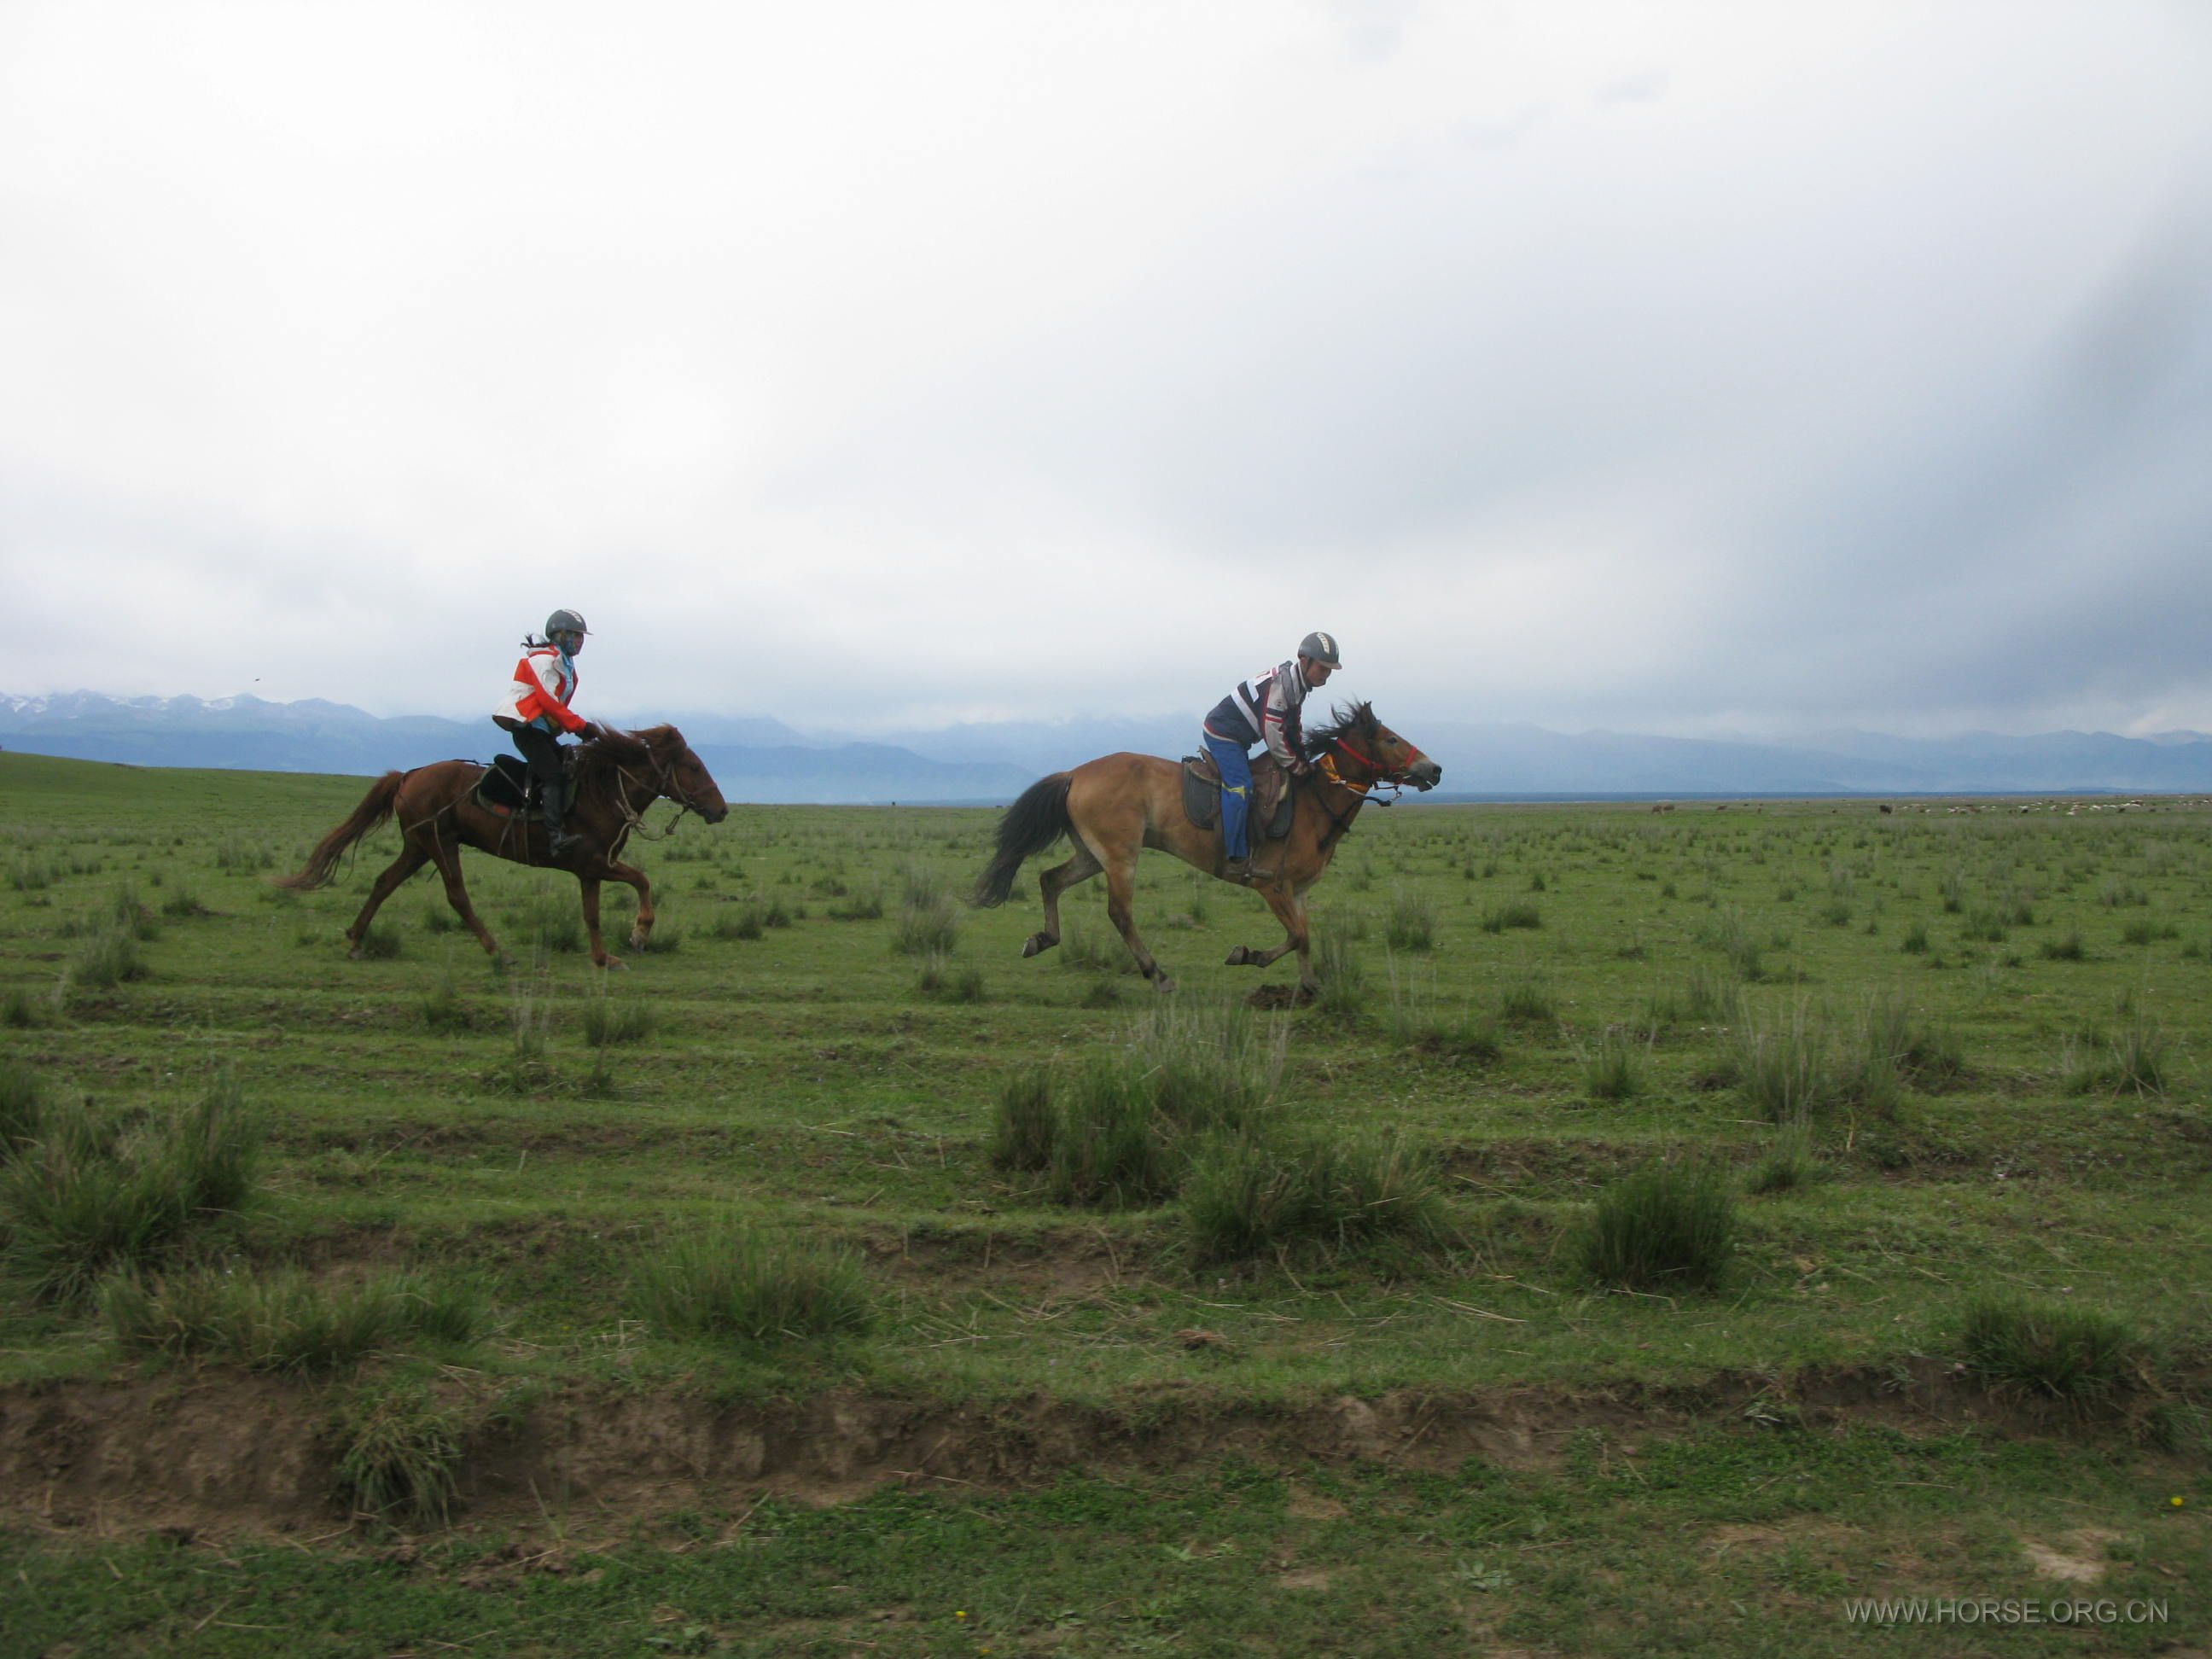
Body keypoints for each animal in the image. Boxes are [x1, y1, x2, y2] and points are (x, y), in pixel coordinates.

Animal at [275, 725, 725, 973]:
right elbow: (641, 882)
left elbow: (593, 914)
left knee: (384, 883)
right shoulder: (595, 862)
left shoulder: (590, 870)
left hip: (418, 846)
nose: (721, 809)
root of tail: (408, 776)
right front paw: (638, 934)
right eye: (694, 767)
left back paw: (355, 940)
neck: (602, 790)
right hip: (440, 844)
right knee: (456, 896)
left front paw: (604, 959)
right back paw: (497, 952)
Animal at [977, 703, 1441, 995]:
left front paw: (1310, 985)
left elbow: (1306, 939)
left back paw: (1042, 939)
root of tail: (1075, 773)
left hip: (1092, 855)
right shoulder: (1272, 887)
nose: (1434, 769)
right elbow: (1295, 936)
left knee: (1050, 880)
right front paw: (1247, 955)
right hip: (1121, 857)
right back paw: (1157, 974)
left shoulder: (1299, 892)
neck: (1313, 803)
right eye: (1391, 739)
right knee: (1120, 913)